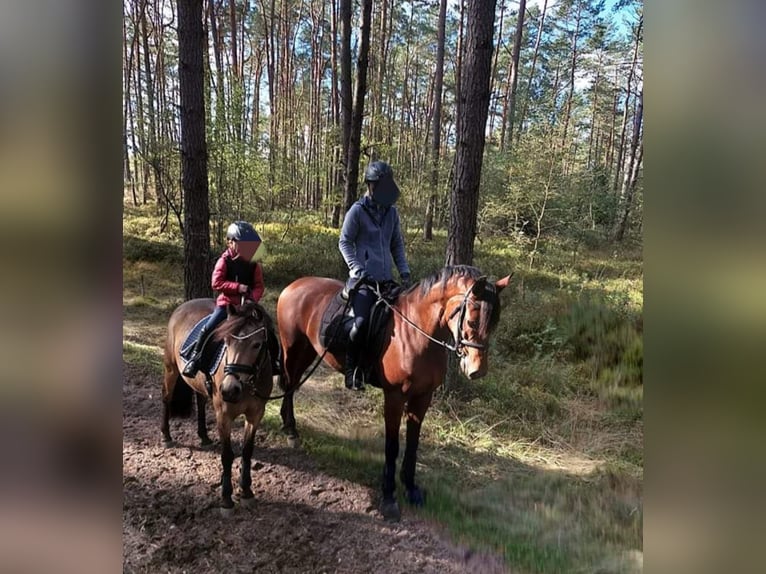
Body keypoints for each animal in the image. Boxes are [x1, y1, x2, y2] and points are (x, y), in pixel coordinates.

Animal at [160, 302, 274, 512]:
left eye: (257, 344)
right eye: (226, 343)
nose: (229, 390)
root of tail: (183, 306)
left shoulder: (255, 415)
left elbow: (247, 451)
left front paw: (246, 491)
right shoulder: (224, 416)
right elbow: (227, 455)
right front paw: (226, 498)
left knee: (200, 400)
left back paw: (204, 436)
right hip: (170, 368)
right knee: (166, 397)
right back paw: (166, 436)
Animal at [276, 266, 510, 520]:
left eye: (495, 323)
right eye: (472, 321)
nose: (477, 371)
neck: (416, 332)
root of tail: (296, 285)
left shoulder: (422, 397)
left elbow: (413, 443)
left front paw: (411, 488)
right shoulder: (395, 397)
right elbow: (392, 446)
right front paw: (389, 496)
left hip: (308, 350)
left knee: (292, 385)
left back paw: (288, 427)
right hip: (293, 349)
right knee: (289, 385)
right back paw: (291, 432)